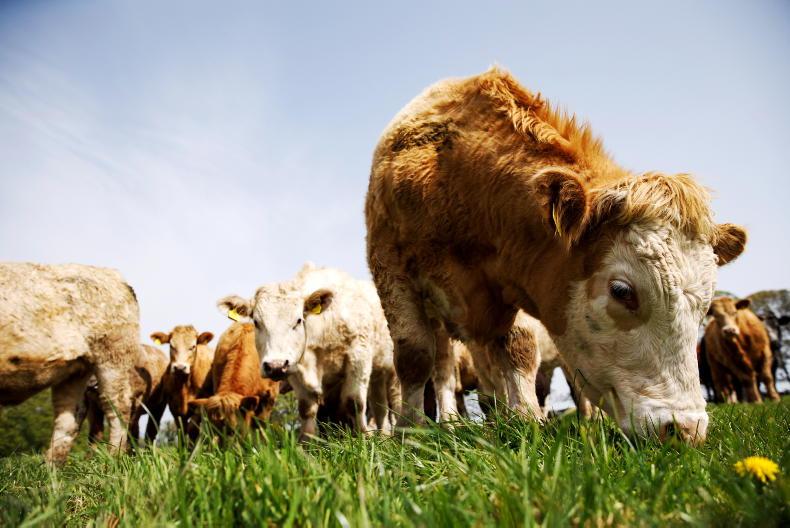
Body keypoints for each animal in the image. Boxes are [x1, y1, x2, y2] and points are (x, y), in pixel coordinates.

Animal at [0, 262, 139, 462]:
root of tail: (114, 275)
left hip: (113, 355)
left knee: (117, 406)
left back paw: (113, 460)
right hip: (76, 369)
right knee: (68, 417)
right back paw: (50, 468)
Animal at [217, 263, 400, 440]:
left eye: (298, 320)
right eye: (256, 322)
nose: (275, 366)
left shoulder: (358, 358)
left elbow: (354, 402)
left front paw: (362, 439)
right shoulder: (295, 369)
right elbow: (307, 410)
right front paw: (307, 445)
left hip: (392, 373)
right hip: (378, 375)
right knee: (379, 407)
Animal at [365, 67, 747, 444]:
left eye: (705, 305)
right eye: (621, 291)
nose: (687, 429)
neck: (452, 176)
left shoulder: (512, 277)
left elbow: (518, 347)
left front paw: (525, 417)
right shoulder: (390, 267)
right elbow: (414, 355)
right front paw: (409, 430)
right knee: (443, 368)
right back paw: (447, 424)